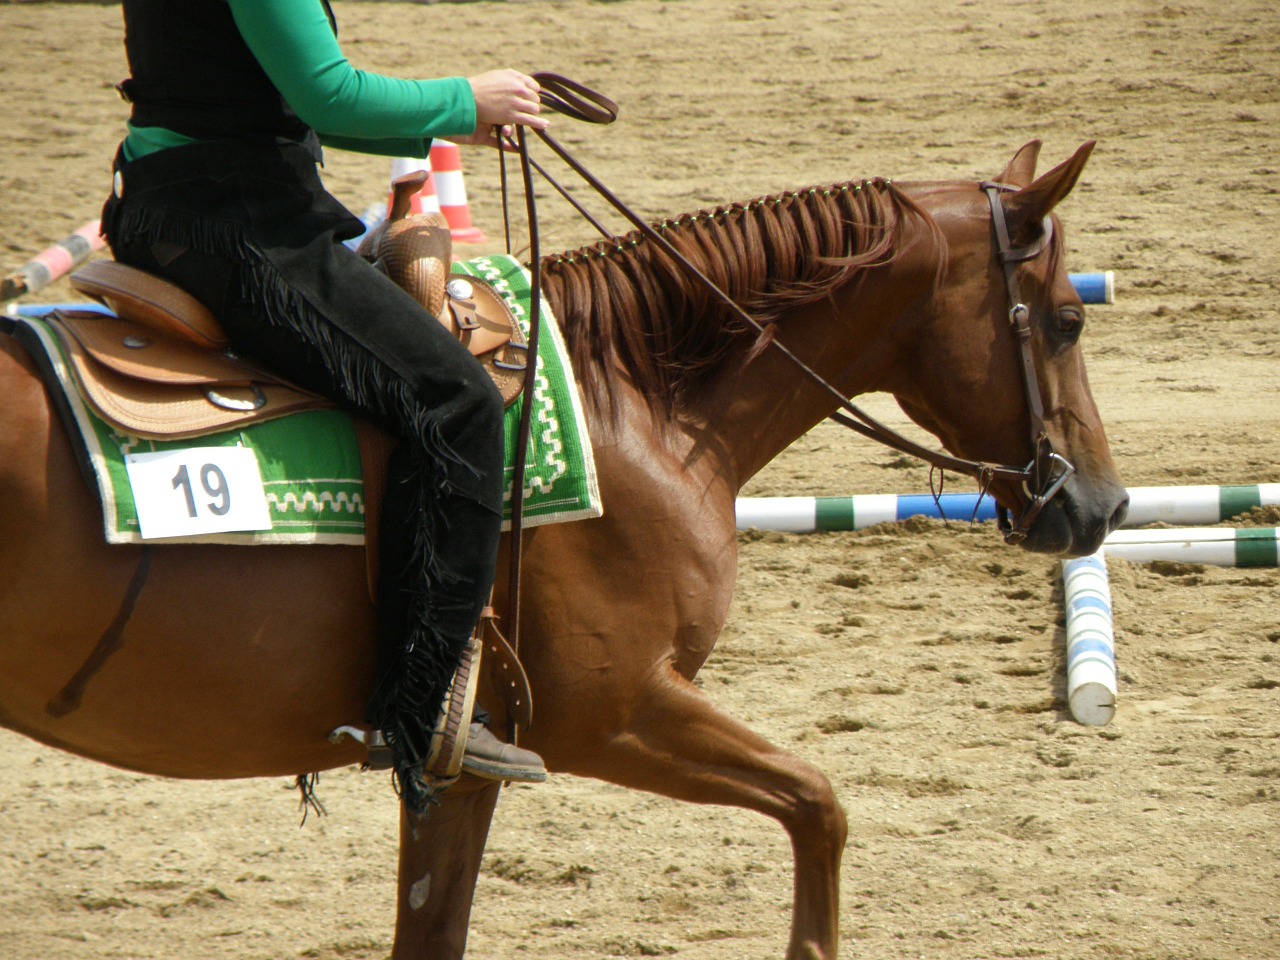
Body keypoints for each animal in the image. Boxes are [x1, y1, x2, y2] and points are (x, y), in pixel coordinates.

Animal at [0, 142, 1121, 960]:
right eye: (1066, 321)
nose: (1100, 504)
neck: (637, 406)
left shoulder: (460, 768)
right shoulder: (611, 715)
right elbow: (819, 805)